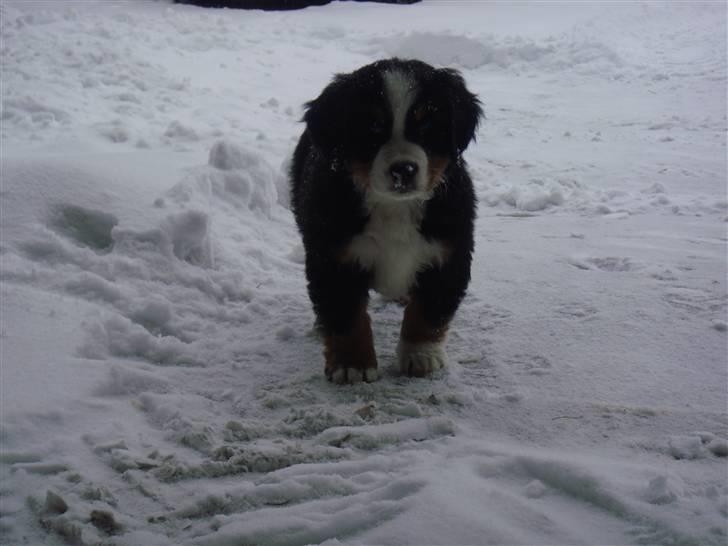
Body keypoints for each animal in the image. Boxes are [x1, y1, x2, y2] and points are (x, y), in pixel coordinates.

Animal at [290, 57, 484, 382]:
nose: (403, 170)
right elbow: (346, 314)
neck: (395, 207)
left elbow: (428, 313)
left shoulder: (448, 253)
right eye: (372, 125)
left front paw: (421, 355)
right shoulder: (333, 257)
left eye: (427, 122)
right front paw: (351, 364)